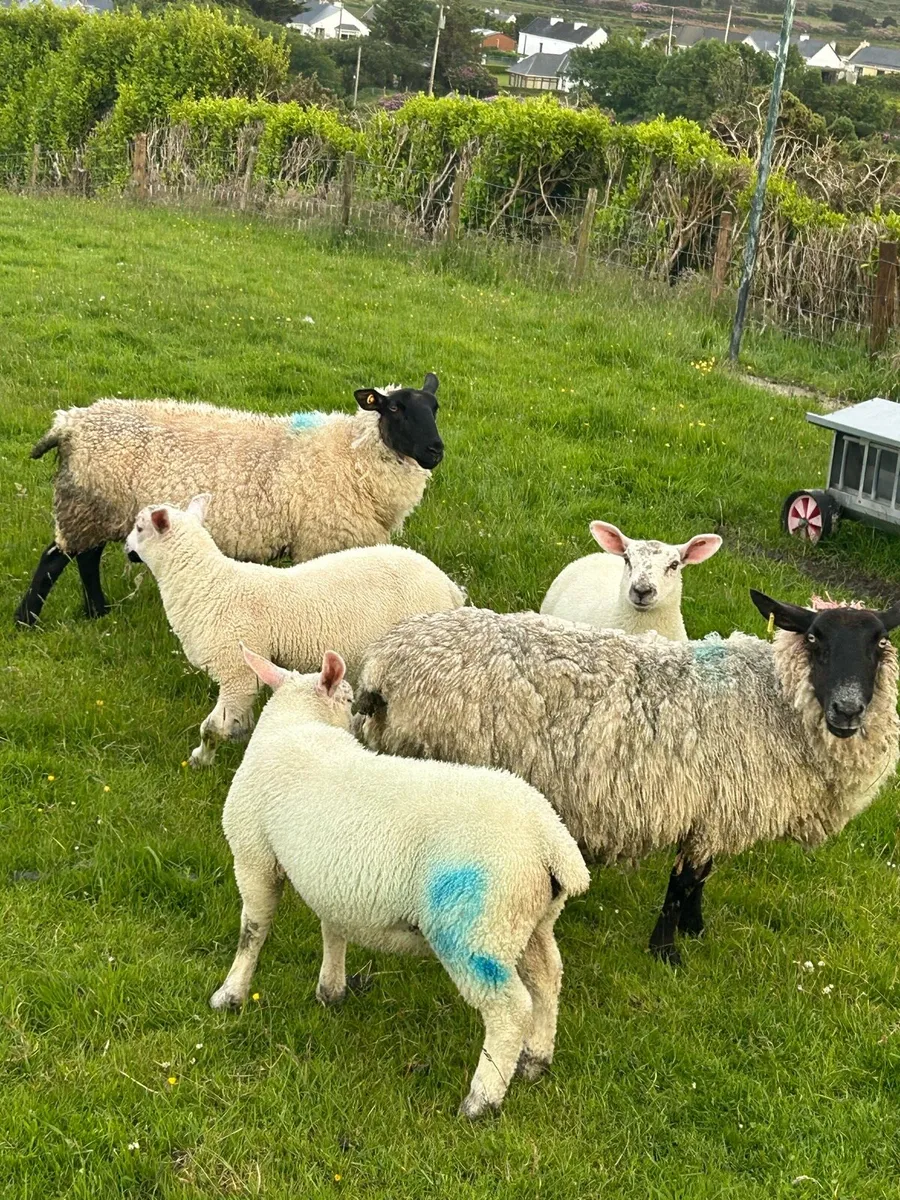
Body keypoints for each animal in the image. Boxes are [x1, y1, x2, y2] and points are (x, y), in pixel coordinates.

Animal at [15, 374, 444, 626]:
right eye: (394, 407)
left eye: (435, 408)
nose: (435, 451)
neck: (350, 454)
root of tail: (69, 422)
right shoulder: (323, 540)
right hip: (87, 504)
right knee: (55, 559)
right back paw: (26, 620)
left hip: (98, 508)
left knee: (85, 558)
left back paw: (97, 612)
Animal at [124, 495, 465, 767]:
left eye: (139, 528)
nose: (126, 547)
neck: (208, 584)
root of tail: (448, 587)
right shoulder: (250, 668)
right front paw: (239, 736)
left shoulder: (235, 671)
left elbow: (211, 729)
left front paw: (200, 759)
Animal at [211, 644, 590, 1119]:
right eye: (349, 697)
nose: (359, 714)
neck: (298, 725)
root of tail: (550, 839)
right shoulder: (334, 879)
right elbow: (333, 930)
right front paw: (330, 990)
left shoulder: (253, 855)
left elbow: (253, 930)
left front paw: (231, 994)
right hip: (528, 920)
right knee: (548, 977)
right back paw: (536, 1058)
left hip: (475, 929)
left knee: (509, 1009)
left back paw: (482, 1099)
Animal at [351, 594, 900, 966]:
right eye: (816, 638)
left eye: (879, 644)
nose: (848, 710)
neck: (770, 699)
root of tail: (381, 668)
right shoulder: (713, 810)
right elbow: (683, 881)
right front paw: (667, 951)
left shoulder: (717, 814)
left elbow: (702, 876)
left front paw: (697, 929)